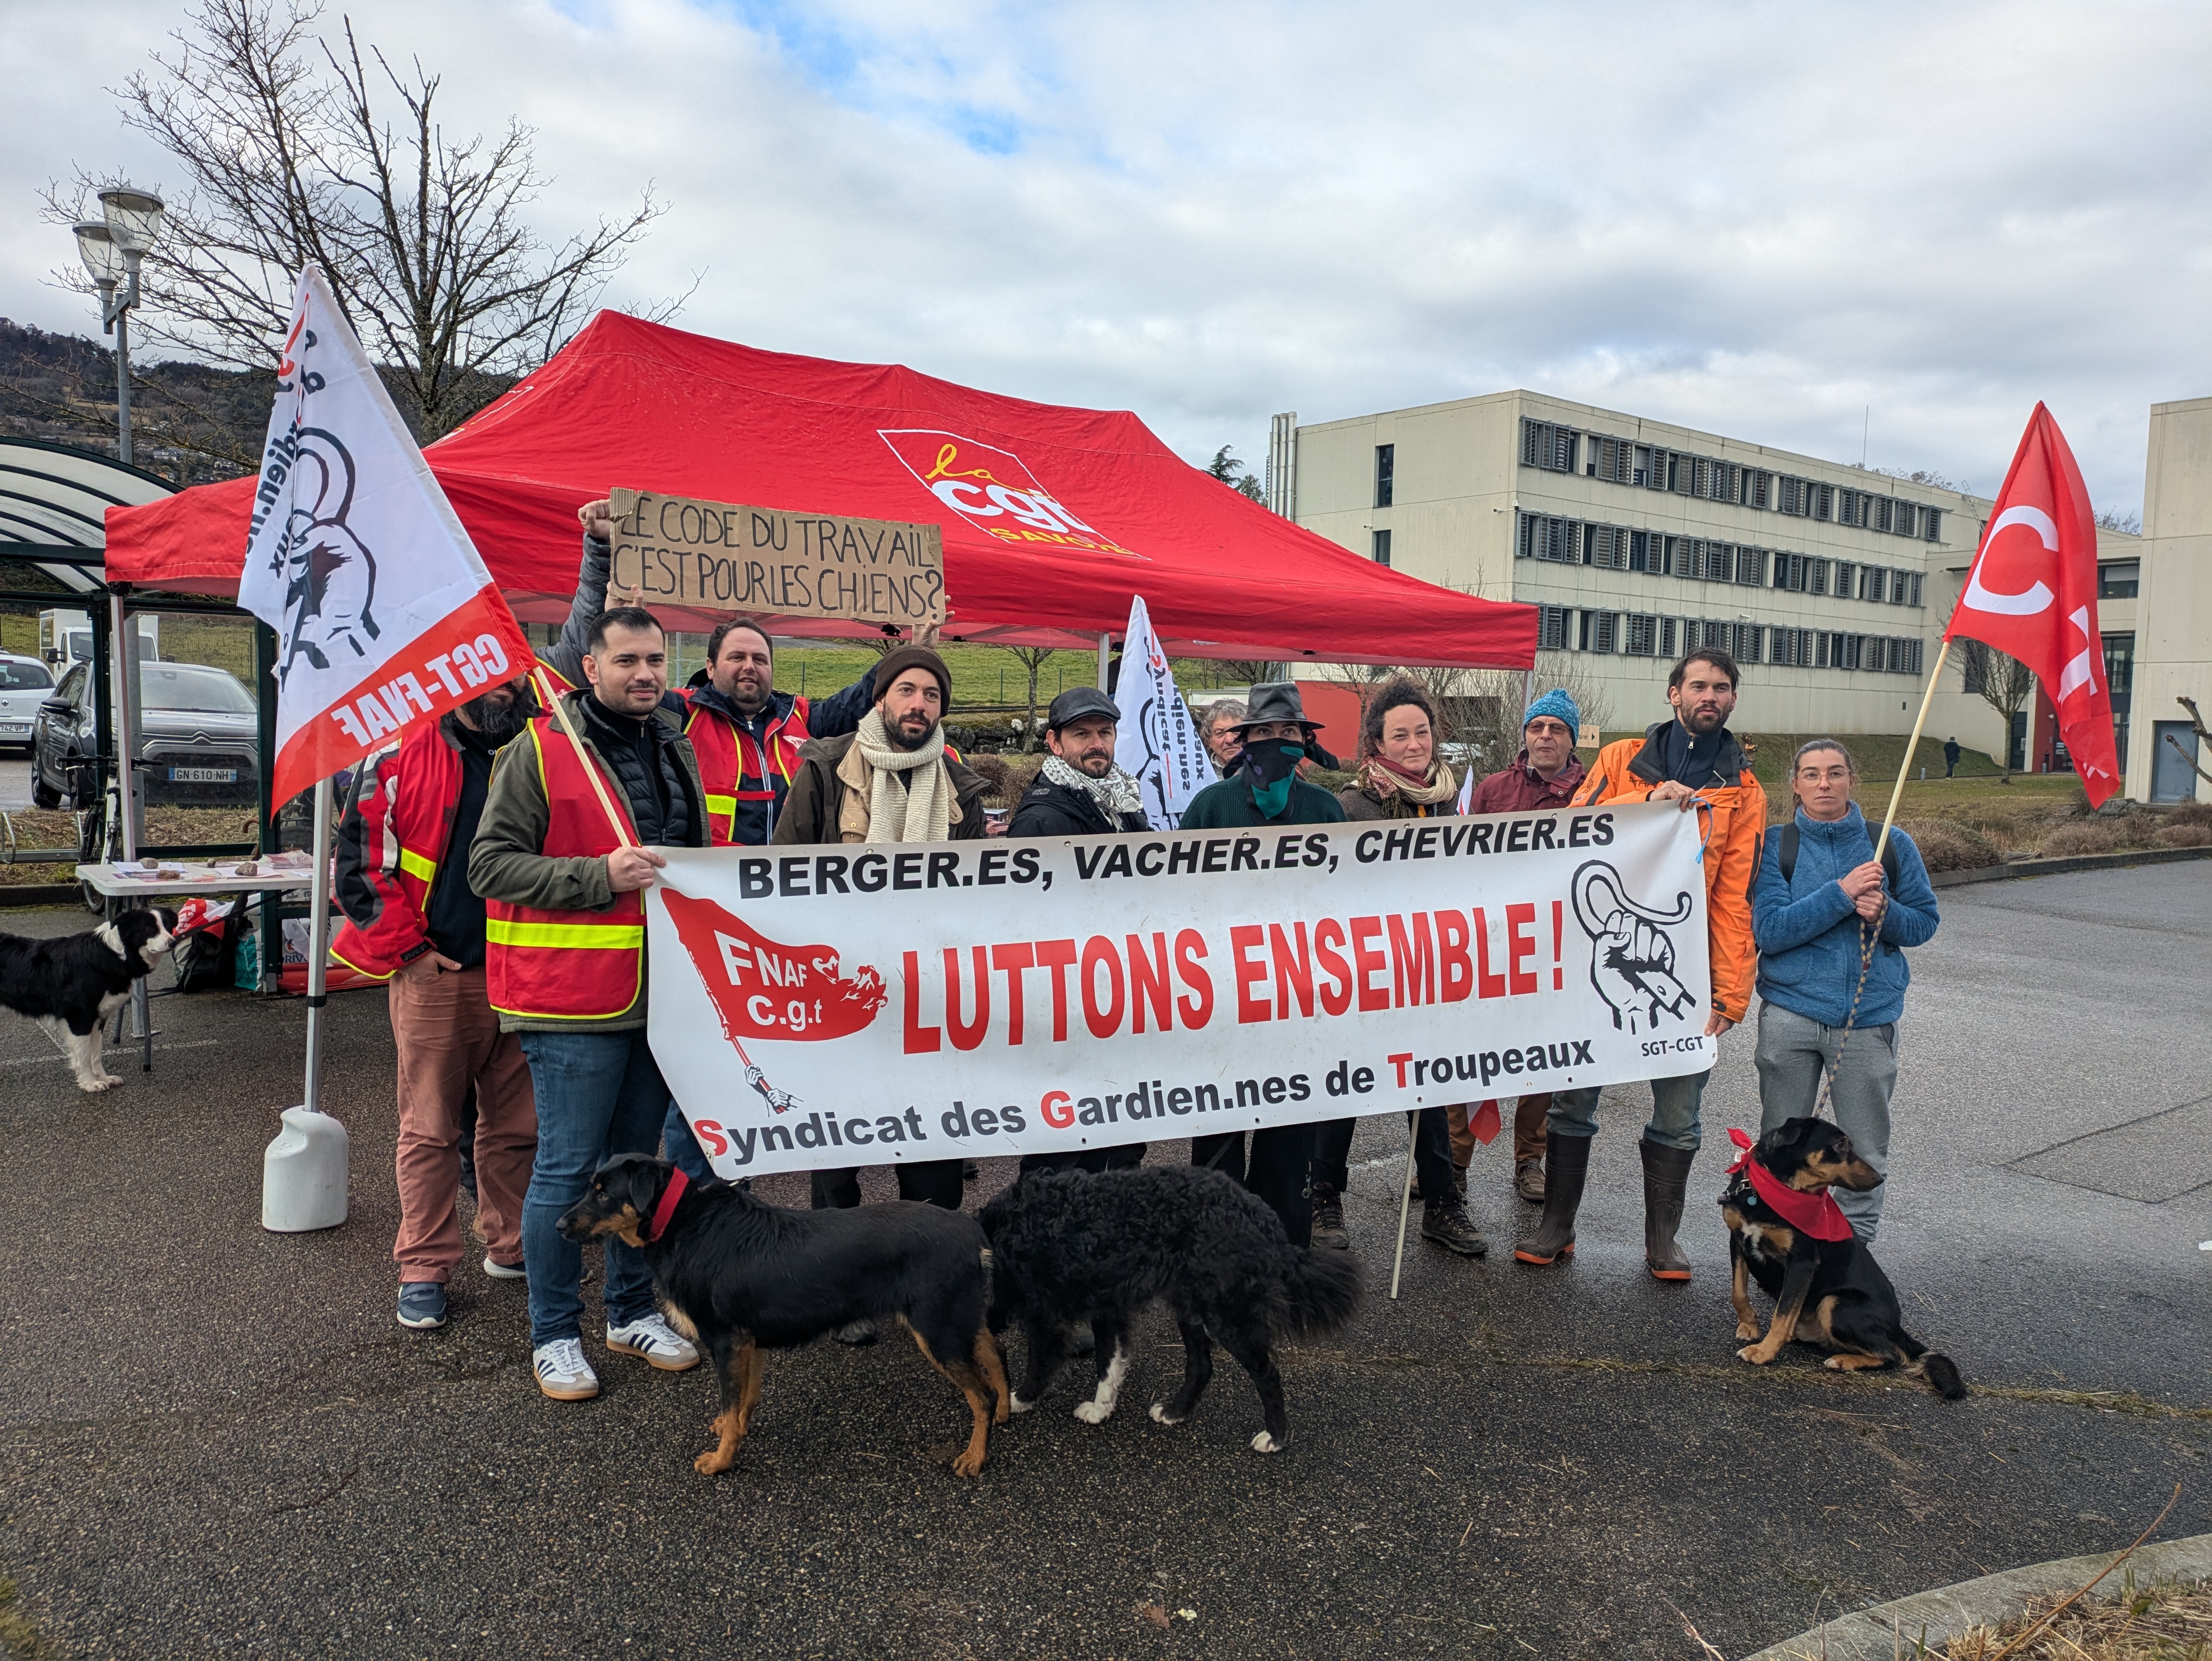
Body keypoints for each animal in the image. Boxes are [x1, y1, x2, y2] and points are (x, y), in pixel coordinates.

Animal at [0, 911, 172, 1092]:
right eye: (148, 928)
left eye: (168, 926)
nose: (173, 942)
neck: (110, 954)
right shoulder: (80, 1018)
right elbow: (83, 1055)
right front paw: (90, 1083)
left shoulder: (98, 1019)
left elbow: (96, 1053)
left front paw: (104, 1078)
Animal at [553, 1159, 1013, 1477]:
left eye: (603, 1194)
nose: (558, 1225)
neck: (684, 1221)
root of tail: (971, 1230)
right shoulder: (748, 1341)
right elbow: (745, 1400)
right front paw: (734, 1432)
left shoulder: (726, 1342)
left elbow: (733, 1400)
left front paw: (721, 1462)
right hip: (959, 1319)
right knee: (997, 1356)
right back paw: (1005, 1413)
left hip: (938, 1330)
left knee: (981, 1394)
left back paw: (974, 1457)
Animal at [986, 1168, 1362, 1451]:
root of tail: (1261, 1216)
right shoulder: (1108, 1306)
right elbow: (1109, 1362)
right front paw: (1101, 1408)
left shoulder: (1045, 1316)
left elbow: (1040, 1364)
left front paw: (1015, 1400)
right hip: (1191, 1306)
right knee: (1202, 1367)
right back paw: (1175, 1412)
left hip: (1228, 1316)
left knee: (1267, 1374)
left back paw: (1275, 1436)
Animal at [1716, 1119, 1964, 1406]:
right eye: (1840, 1145)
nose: (1880, 1179)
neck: (1778, 1189)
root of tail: (1896, 1328)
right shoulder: (1737, 1241)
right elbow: (1739, 1293)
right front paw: (1750, 1325)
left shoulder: (1802, 1262)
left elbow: (1782, 1315)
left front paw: (1763, 1352)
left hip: (1835, 1302)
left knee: (1892, 1355)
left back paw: (1845, 1361)